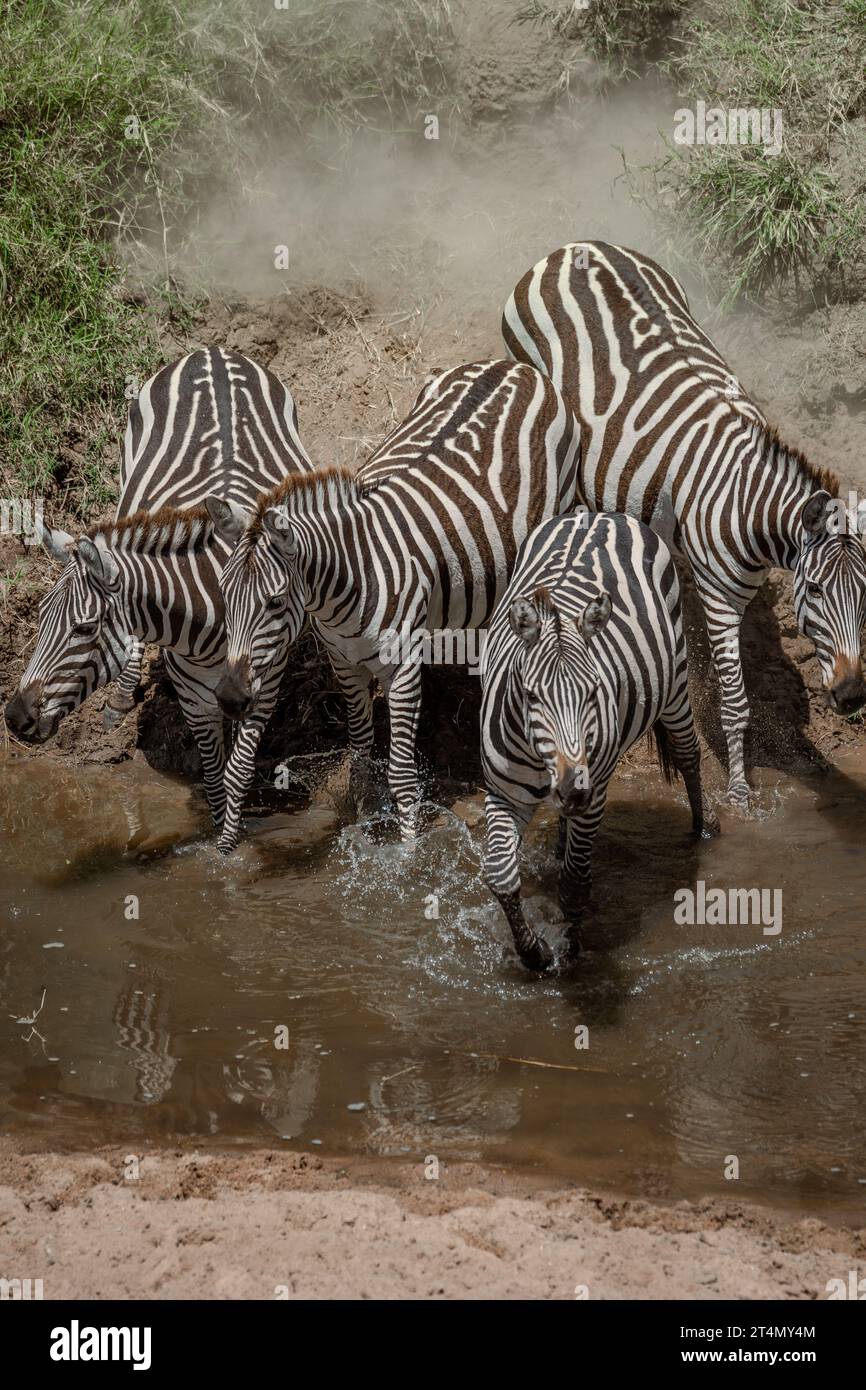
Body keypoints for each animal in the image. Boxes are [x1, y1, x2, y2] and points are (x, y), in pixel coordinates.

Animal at [4, 348, 312, 853]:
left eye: (84, 628)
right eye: (43, 616)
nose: (13, 718)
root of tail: (212, 352)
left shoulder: (262, 685)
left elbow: (237, 774)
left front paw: (229, 855)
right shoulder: (192, 695)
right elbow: (214, 779)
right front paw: (218, 844)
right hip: (128, 474)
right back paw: (121, 697)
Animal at [205, 359, 583, 841]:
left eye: (273, 602)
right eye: (224, 595)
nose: (231, 700)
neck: (351, 578)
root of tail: (512, 365)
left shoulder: (403, 670)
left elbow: (402, 775)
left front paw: (407, 852)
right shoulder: (344, 663)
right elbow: (361, 752)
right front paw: (362, 822)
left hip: (559, 508)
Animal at [481, 509, 719, 972]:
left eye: (592, 692)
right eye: (531, 696)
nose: (573, 790)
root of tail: (596, 513)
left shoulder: (596, 795)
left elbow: (575, 882)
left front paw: (571, 952)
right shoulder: (503, 794)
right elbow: (501, 874)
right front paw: (534, 953)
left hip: (677, 682)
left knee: (688, 754)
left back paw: (701, 830)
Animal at [503, 241, 866, 806]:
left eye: (865, 592)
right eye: (815, 590)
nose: (852, 697)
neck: (744, 495)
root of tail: (576, 249)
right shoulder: (720, 598)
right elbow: (735, 704)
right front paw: (740, 796)